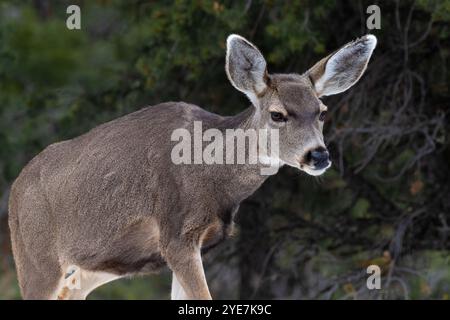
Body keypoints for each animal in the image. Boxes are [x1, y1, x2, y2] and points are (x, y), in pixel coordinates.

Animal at [7, 33, 376, 298]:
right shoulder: (176, 234)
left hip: (102, 262)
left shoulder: (199, 242)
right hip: (36, 256)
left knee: (71, 290)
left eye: (322, 112)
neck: (212, 175)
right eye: (277, 114)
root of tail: (14, 190)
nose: (319, 156)